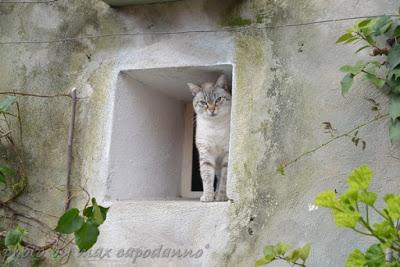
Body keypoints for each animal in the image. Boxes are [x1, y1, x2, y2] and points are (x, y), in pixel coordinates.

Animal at [188, 74, 231, 202]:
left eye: (218, 99)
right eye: (203, 102)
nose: (211, 110)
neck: (214, 125)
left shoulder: (227, 154)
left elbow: (224, 179)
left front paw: (222, 197)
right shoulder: (206, 152)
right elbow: (207, 176)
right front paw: (207, 196)